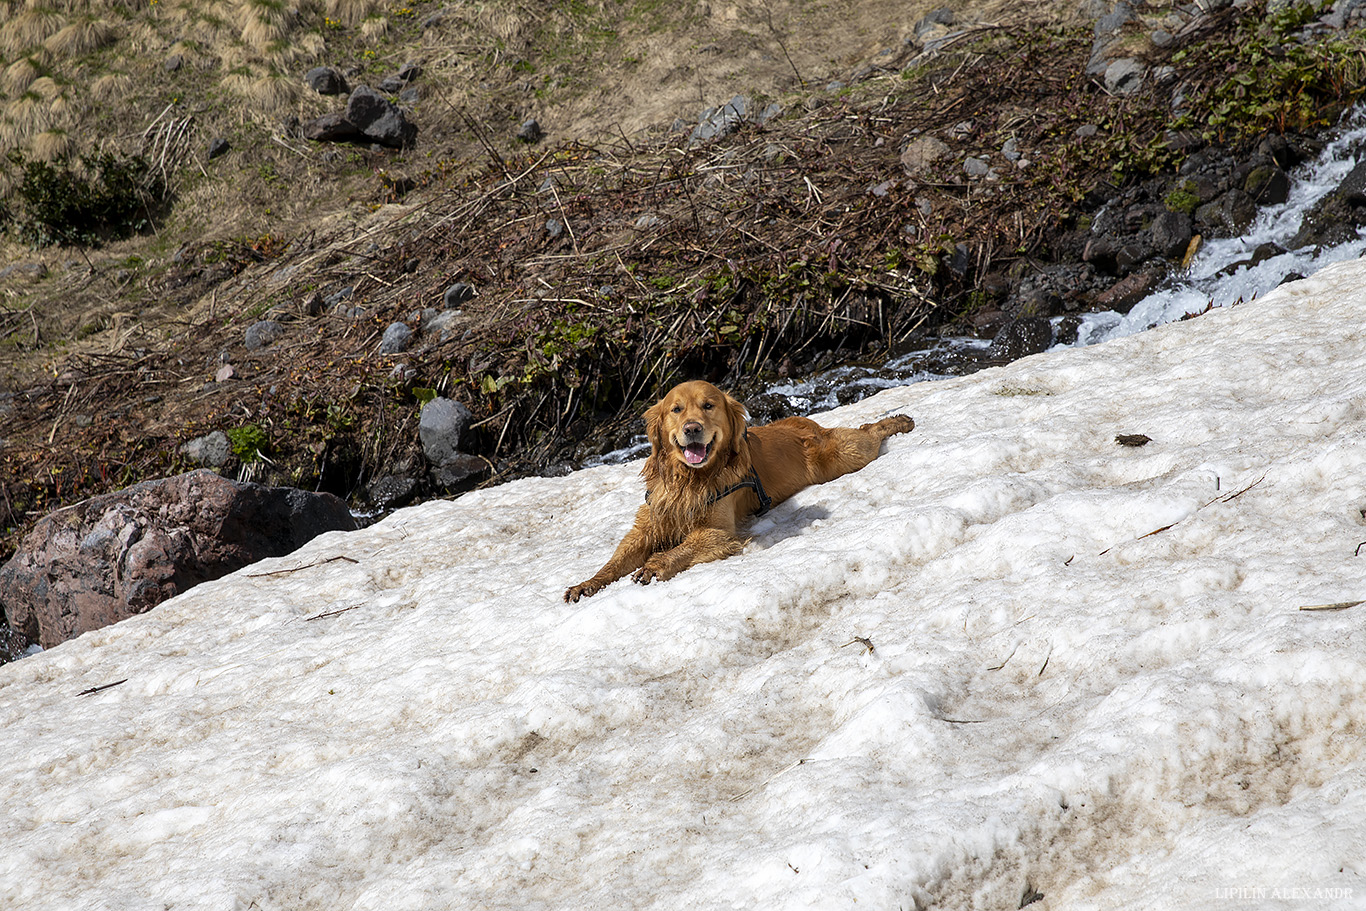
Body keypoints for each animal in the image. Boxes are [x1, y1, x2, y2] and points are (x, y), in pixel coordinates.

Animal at [560, 382, 912, 600]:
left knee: (867, 431)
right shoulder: (648, 525)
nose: (692, 429)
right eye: (676, 409)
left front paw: (654, 565)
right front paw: (586, 583)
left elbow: (681, 548)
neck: (688, 480)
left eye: (708, 405)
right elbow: (614, 561)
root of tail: (803, 423)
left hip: (844, 456)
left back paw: (898, 421)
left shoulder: (719, 531)